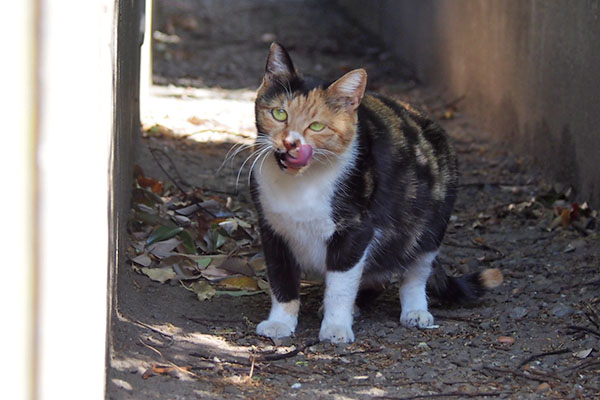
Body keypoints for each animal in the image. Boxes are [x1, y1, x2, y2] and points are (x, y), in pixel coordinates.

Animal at [248, 43, 502, 344]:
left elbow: (341, 286)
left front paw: (336, 328)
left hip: (428, 227)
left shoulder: (356, 229)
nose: (290, 143)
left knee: (415, 272)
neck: (301, 184)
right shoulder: (272, 229)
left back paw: (415, 311)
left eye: (317, 125)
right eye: (279, 114)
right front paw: (280, 323)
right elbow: (281, 280)